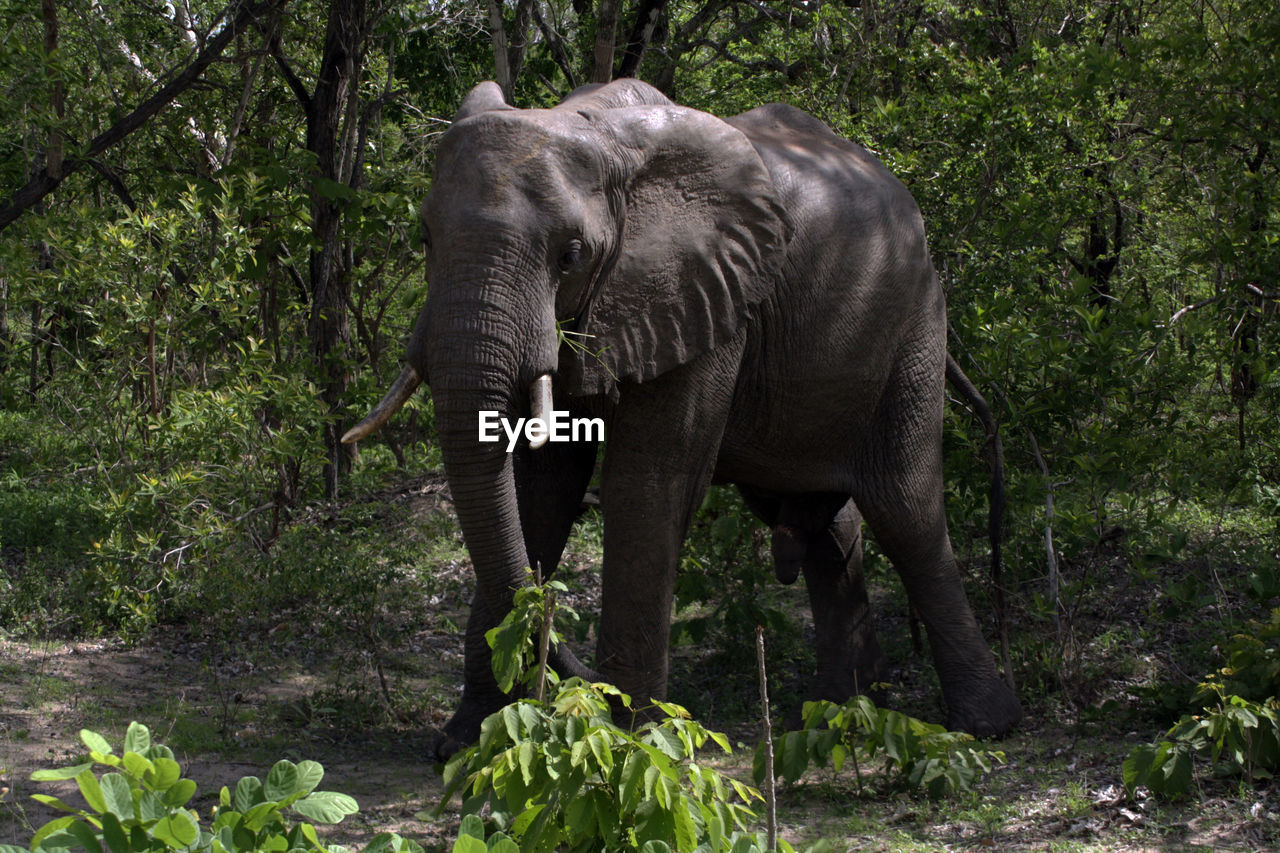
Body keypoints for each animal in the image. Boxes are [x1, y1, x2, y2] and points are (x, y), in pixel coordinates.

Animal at [345, 74, 1024, 753]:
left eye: (570, 255)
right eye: (425, 239)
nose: (577, 678)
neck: (594, 129)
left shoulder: (707, 294)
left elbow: (647, 485)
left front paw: (627, 740)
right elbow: (540, 489)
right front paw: (468, 743)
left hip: (915, 323)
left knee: (906, 509)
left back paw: (983, 727)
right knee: (827, 522)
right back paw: (839, 717)